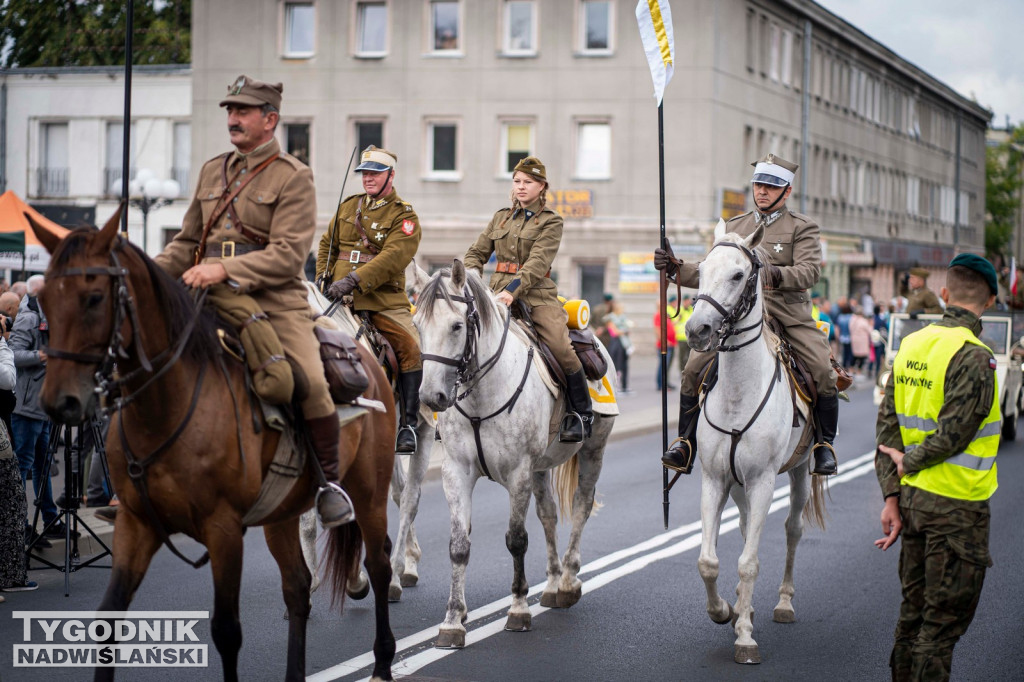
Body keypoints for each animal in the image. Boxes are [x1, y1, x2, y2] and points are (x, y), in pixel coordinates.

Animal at [28, 208, 395, 679]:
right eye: (44, 299)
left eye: (93, 298)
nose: (61, 402)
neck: (169, 402)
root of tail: (366, 359)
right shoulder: (137, 523)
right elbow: (108, 616)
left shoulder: (224, 531)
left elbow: (226, 630)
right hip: (280, 513)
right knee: (297, 587)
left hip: (369, 493)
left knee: (379, 563)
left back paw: (383, 658)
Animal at [409, 258, 614, 647]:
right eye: (417, 326)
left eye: (457, 325)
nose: (431, 397)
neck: (481, 394)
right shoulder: (456, 472)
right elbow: (459, 545)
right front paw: (453, 620)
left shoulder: (518, 473)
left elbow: (516, 540)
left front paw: (518, 609)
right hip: (541, 466)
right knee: (548, 515)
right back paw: (552, 584)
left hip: (593, 452)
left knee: (580, 508)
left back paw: (568, 581)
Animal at [684, 219, 827, 663]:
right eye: (700, 270)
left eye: (737, 274)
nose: (696, 330)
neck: (737, 393)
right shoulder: (715, 480)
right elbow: (708, 561)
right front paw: (724, 611)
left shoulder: (764, 481)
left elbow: (749, 562)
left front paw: (745, 637)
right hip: (738, 485)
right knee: (748, 527)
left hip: (799, 472)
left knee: (792, 529)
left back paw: (783, 603)